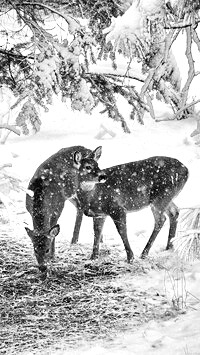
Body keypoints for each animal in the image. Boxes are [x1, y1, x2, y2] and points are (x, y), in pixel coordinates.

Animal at [25, 145, 101, 276]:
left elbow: (53, 229)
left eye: (46, 249)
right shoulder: (29, 206)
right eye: (35, 250)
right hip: (72, 195)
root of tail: (90, 151)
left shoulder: (58, 206)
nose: (42, 267)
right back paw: (78, 240)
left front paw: (52, 256)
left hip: (85, 188)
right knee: (80, 208)